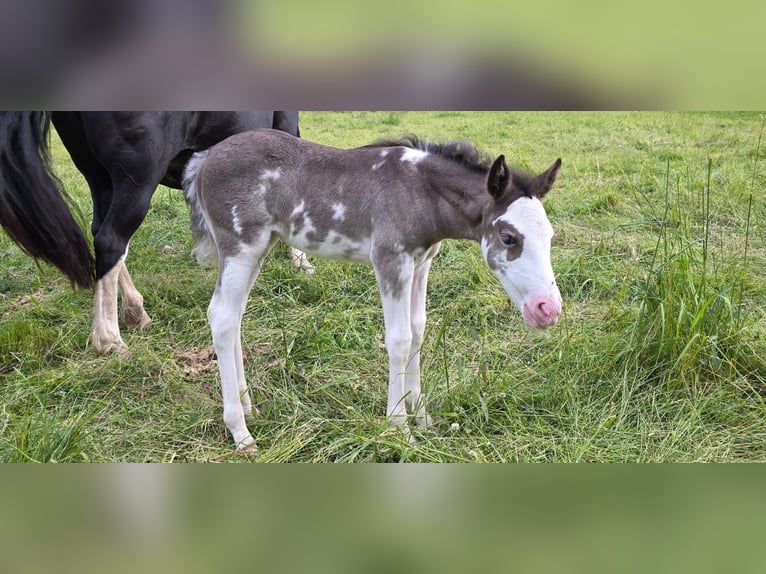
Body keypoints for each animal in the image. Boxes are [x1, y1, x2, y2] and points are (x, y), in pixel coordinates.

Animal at [0, 112, 313, 355]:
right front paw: (299, 259)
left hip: (99, 178)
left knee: (102, 235)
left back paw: (135, 311)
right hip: (137, 182)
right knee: (111, 240)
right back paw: (108, 338)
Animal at [183, 129, 562, 451]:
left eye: (550, 235)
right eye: (509, 237)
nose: (548, 309)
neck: (420, 191)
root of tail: (205, 157)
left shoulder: (422, 262)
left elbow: (418, 331)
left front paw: (421, 417)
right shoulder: (390, 260)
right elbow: (399, 339)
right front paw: (399, 427)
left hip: (260, 248)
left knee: (235, 317)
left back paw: (249, 408)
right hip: (240, 246)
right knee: (222, 317)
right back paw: (240, 431)